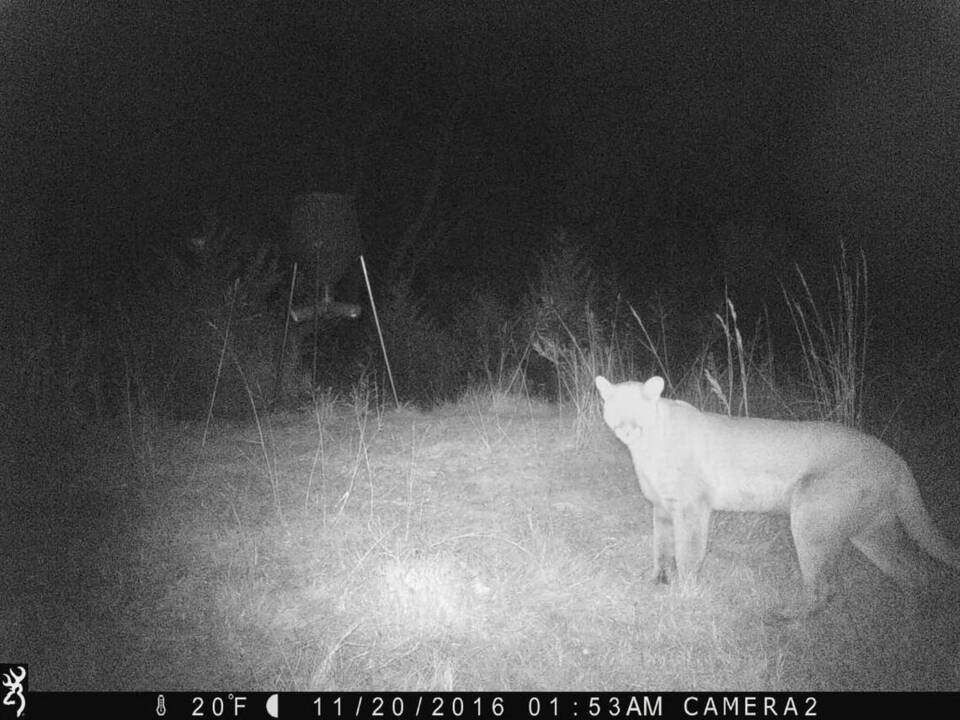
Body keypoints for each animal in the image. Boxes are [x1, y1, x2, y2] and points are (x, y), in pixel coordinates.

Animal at [595, 375, 960, 619]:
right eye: (615, 408)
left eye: (637, 410)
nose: (625, 428)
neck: (647, 445)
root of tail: (894, 457)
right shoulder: (661, 507)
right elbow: (660, 546)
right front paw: (657, 580)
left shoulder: (691, 507)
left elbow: (687, 553)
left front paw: (685, 593)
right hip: (869, 531)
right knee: (914, 571)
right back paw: (914, 618)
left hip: (811, 520)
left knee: (825, 587)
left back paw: (787, 618)